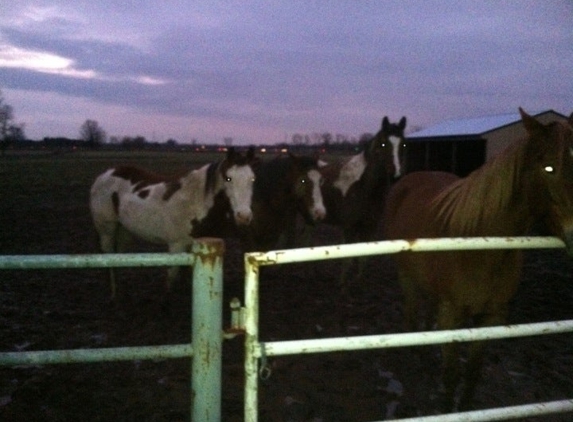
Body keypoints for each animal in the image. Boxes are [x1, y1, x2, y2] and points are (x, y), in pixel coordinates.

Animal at [89, 147, 256, 298]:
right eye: (228, 178)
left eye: (252, 179)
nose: (244, 216)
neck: (196, 202)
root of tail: (104, 175)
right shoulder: (177, 246)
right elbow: (172, 280)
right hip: (107, 230)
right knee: (108, 256)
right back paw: (113, 293)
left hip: (124, 231)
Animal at [312, 117, 406, 286]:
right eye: (383, 144)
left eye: (403, 144)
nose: (396, 176)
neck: (363, 187)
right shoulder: (349, 227)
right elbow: (347, 259)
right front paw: (342, 285)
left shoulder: (370, 227)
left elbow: (363, 258)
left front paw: (358, 282)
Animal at [382, 109, 572, 412]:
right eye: (549, 168)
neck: (482, 249)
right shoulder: (451, 316)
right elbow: (451, 374)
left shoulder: (491, 318)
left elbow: (473, 372)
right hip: (406, 276)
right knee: (411, 314)